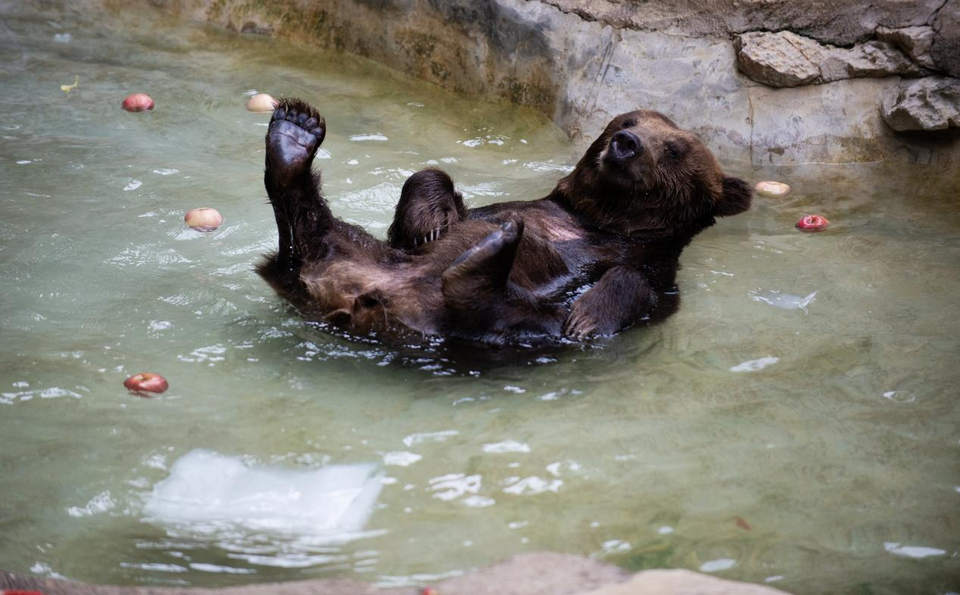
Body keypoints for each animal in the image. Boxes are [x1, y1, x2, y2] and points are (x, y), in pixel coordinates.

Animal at [256, 100, 752, 346]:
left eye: (675, 149)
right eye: (625, 120)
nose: (627, 143)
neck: (599, 220)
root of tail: (347, 299)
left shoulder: (653, 262)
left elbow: (638, 285)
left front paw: (589, 316)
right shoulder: (517, 208)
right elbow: (434, 189)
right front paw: (431, 221)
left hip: (512, 327)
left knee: (499, 311)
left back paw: (492, 257)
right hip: (363, 252)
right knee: (317, 229)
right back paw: (294, 135)